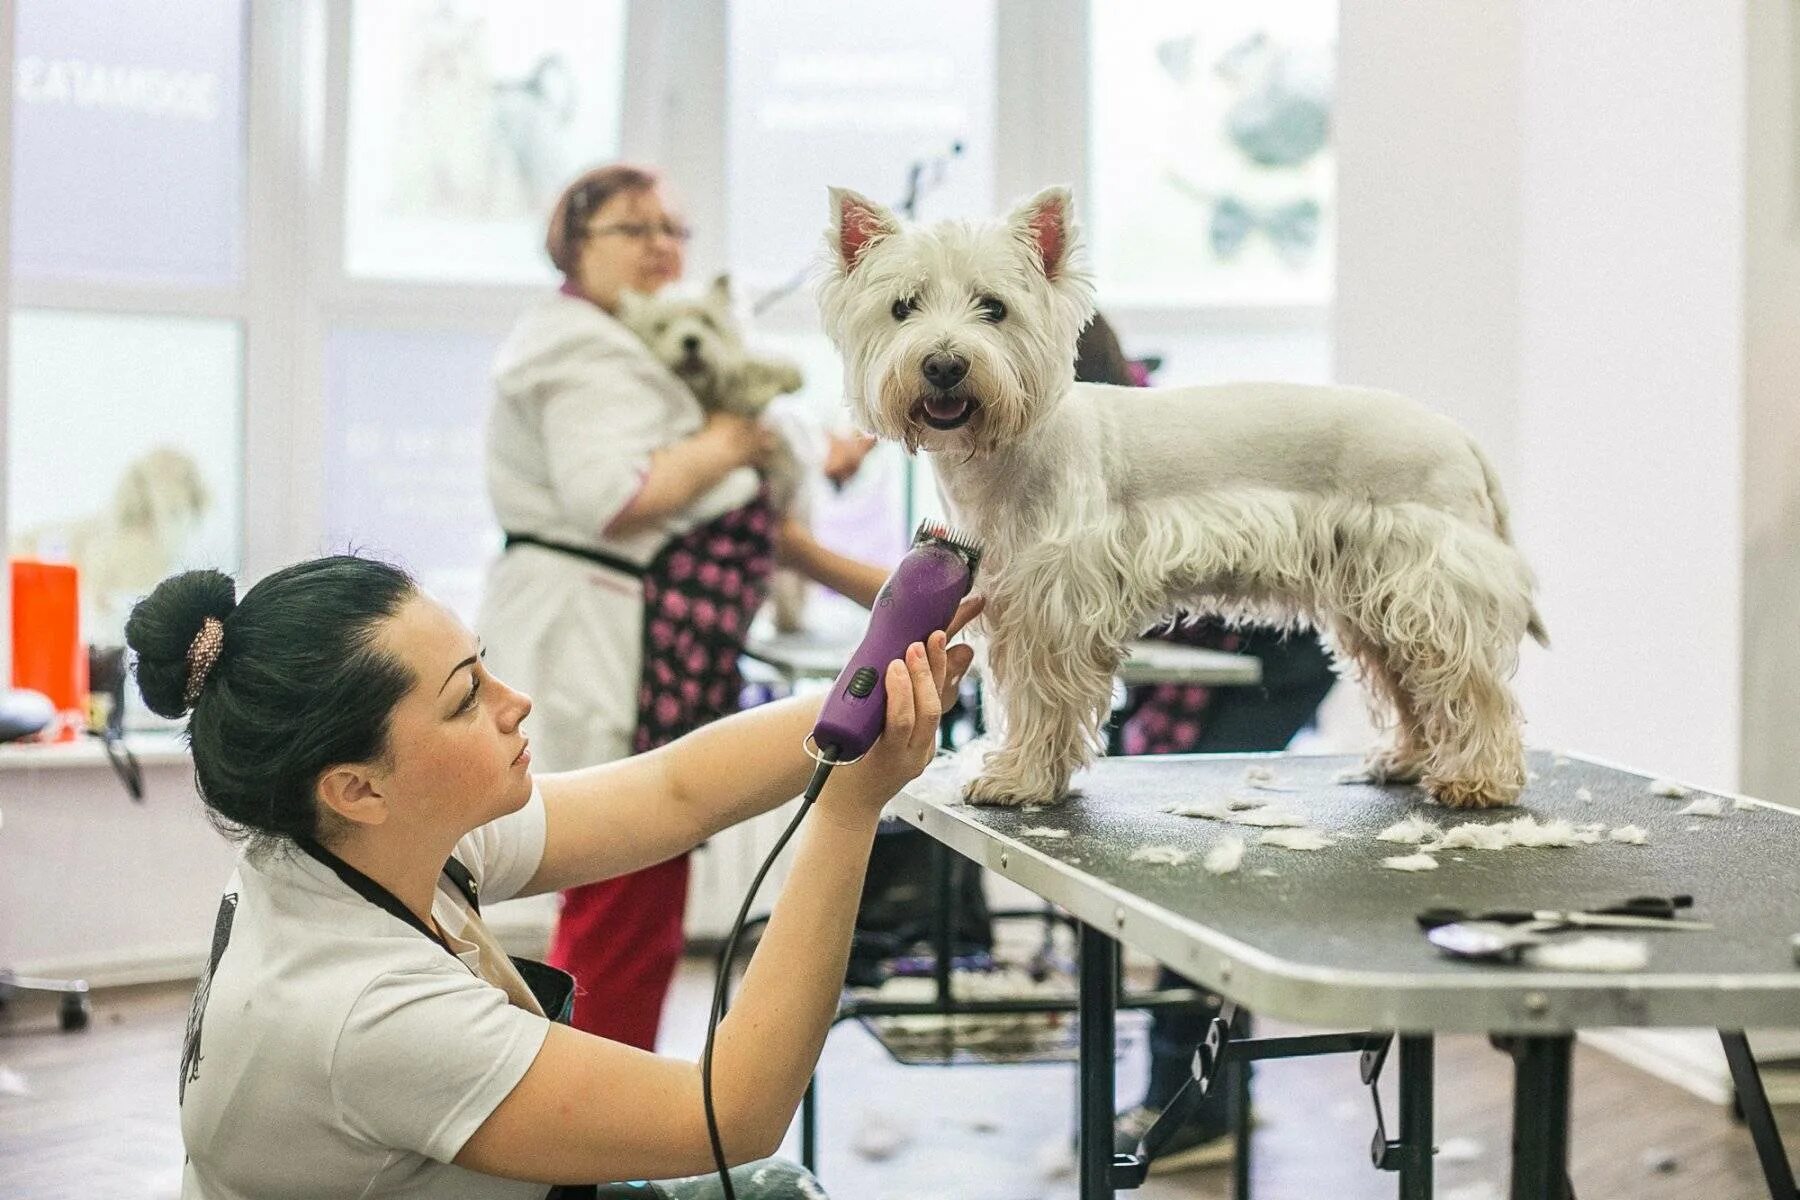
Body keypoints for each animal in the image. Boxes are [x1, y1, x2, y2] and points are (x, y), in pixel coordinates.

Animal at [817, 185, 1548, 805]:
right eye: (903, 307)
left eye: (993, 307)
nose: (943, 364)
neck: (1004, 453)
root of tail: (1459, 438)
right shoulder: (1012, 599)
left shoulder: (1055, 607)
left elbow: (1042, 697)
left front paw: (1018, 780)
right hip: (1377, 601)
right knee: (1411, 682)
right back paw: (1406, 759)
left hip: (1430, 586)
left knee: (1470, 685)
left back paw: (1478, 780)